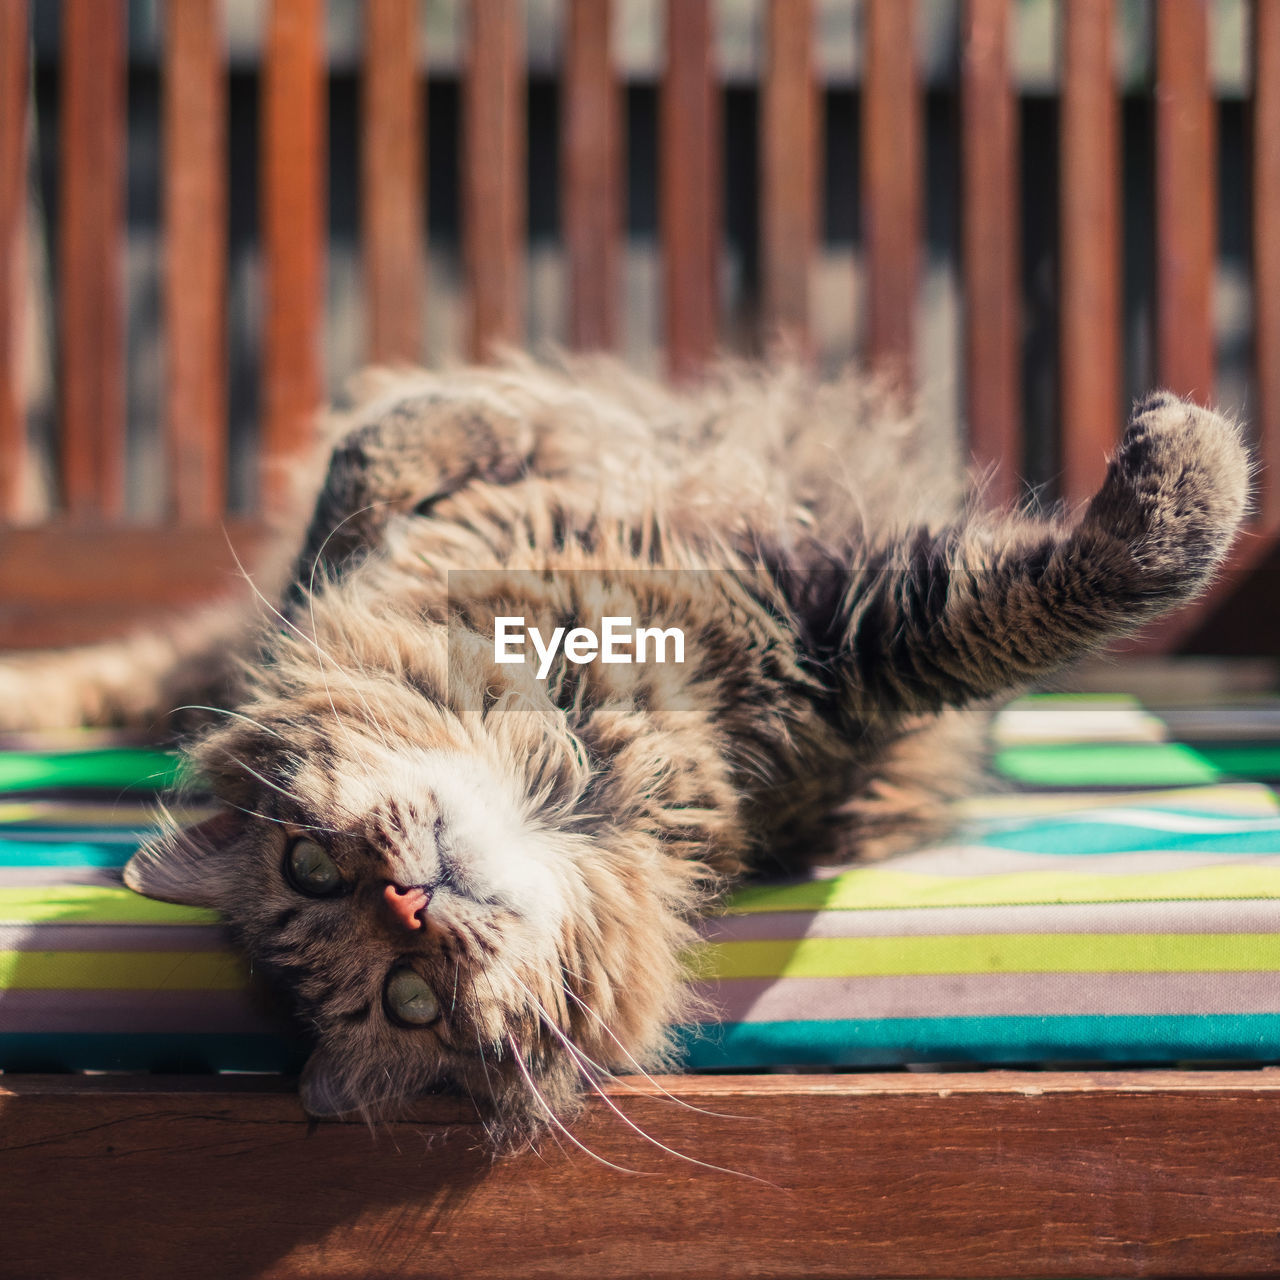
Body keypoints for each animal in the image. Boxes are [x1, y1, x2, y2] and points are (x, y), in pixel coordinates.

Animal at [0, 358, 1249, 1141]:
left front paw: (481, 429)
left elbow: (379, 464)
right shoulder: (850, 648)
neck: (571, 725)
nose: (410, 899)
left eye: (306, 863)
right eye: (410, 1000)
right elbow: (1046, 593)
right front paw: (1192, 463)